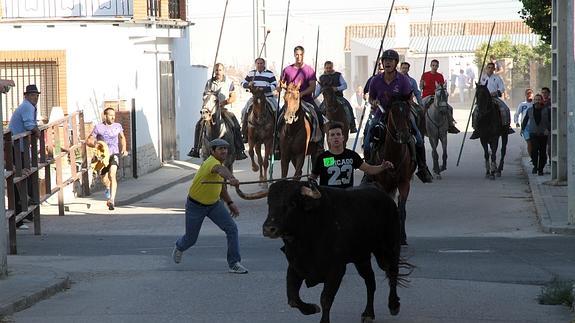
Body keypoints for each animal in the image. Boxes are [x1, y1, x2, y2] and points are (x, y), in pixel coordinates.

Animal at [372, 101, 416, 246]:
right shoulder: (382, 184)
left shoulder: (404, 183)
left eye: (407, 112)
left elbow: (401, 208)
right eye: (394, 113)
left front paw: (402, 238)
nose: (404, 136)